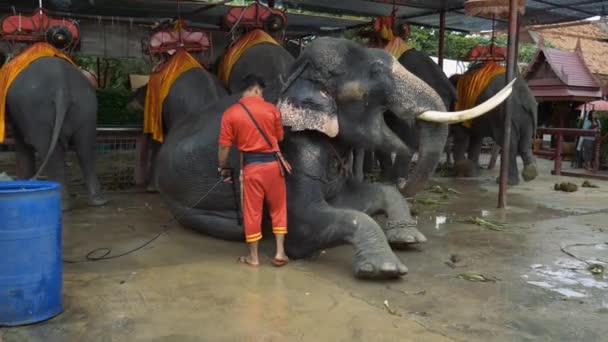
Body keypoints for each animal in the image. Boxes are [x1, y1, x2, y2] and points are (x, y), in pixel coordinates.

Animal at [5, 55, 107, 208]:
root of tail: (61, 83)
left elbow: (23, 145)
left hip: (37, 110)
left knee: (48, 149)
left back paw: (63, 205)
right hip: (86, 105)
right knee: (85, 147)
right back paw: (99, 201)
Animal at [153, 37, 512, 278]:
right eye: (377, 71)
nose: (407, 182)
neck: (294, 79)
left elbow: (360, 198)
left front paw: (408, 238)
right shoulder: (292, 144)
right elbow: (305, 224)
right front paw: (385, 269)